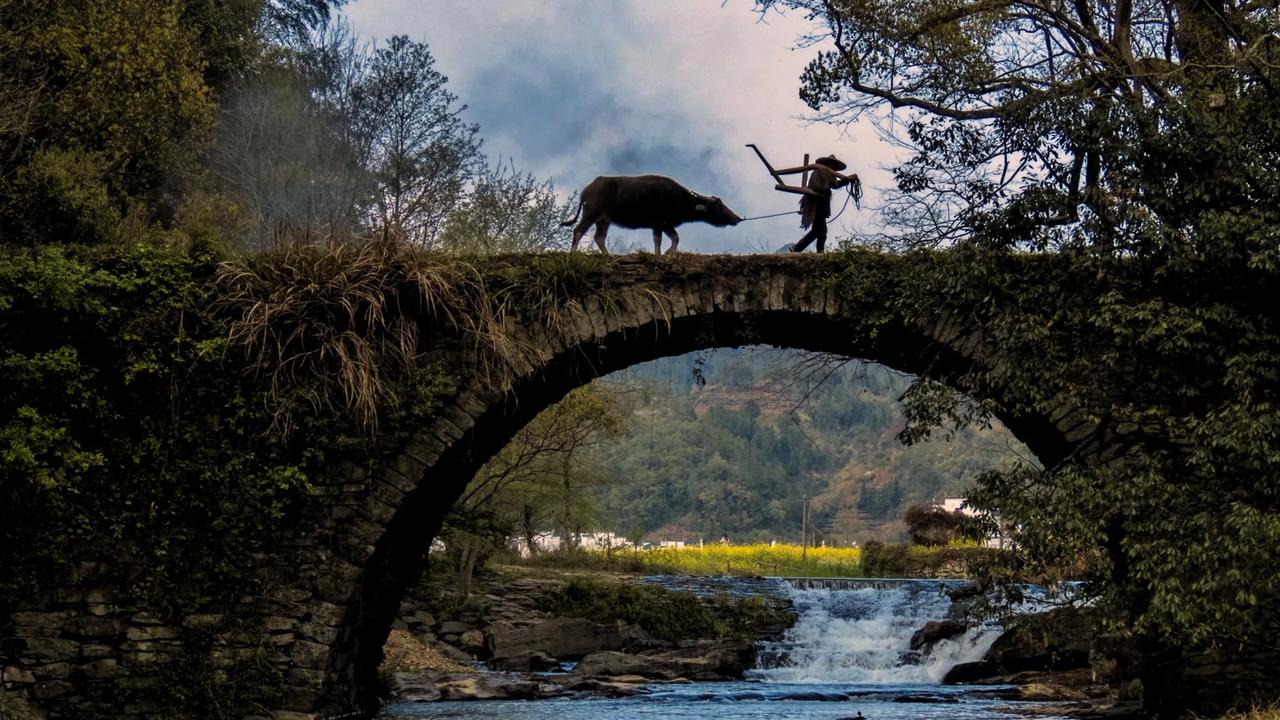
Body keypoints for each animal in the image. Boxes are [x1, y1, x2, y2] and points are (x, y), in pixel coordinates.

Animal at [560, 175, 742, 253]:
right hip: (591, 214)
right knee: (578, 231)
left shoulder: (667, 224)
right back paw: (573, 253)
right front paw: (659, 254)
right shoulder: (657, 222)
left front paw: (669, 253)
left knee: (599, 237)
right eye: (719, 207)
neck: (678, 199)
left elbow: (676, 237)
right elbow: (658, 240)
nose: (737, 218)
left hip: (603, 220)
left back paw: (608, 256)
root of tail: (586, 191)